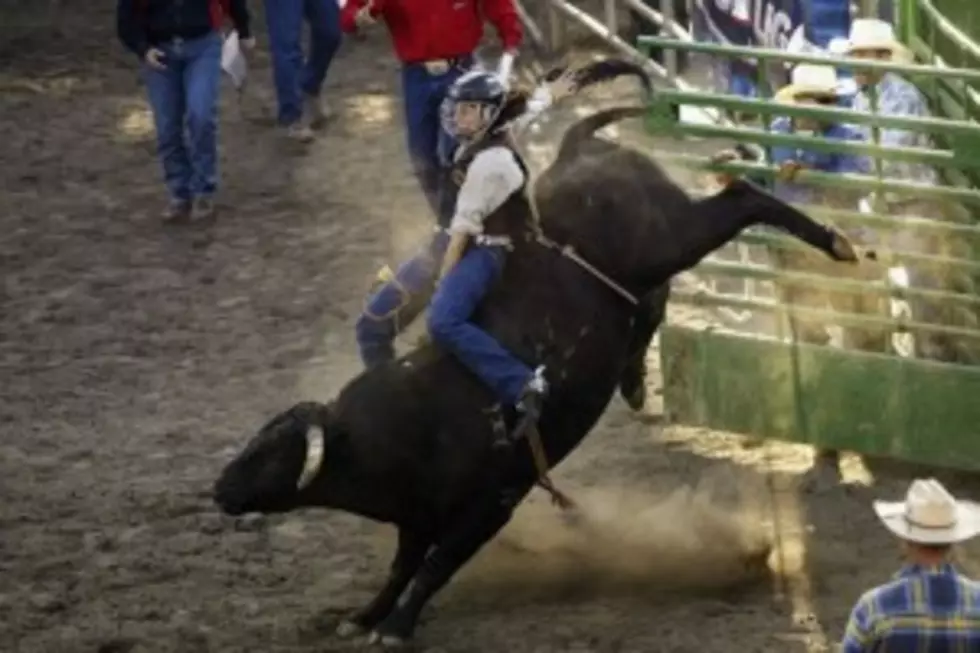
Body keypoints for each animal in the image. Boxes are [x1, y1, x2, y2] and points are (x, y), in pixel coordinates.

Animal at [214, 105, 856, 640]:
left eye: (269, 454)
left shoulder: (492, 503)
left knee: (742, 197)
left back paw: (835, 242)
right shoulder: (417, 512)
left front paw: (396, 626)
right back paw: (633, 380)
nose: (219, 488)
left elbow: (435, 565)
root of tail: (577, 150)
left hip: (670, 237)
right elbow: (403, 565)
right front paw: (366, 615)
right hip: (644, 272)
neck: (397, 427)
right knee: (655, 299)